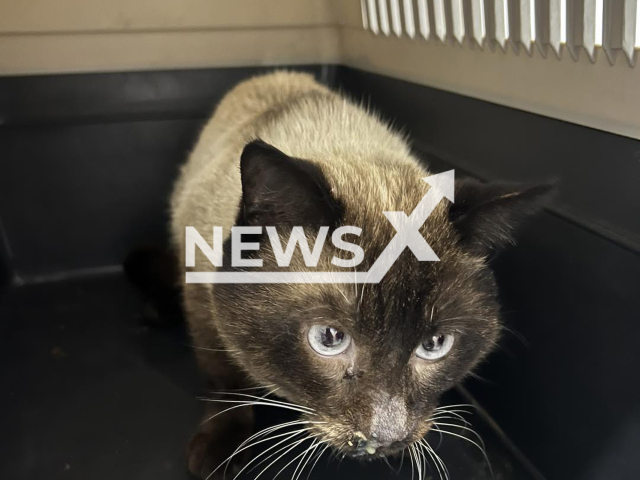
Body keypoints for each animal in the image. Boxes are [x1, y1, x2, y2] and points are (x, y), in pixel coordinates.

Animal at [169, 69, 552, 478]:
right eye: (329, 338)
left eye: (435, 344)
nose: (385, 438)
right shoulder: (200, 300)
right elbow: (226, 382)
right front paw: (221, 452)